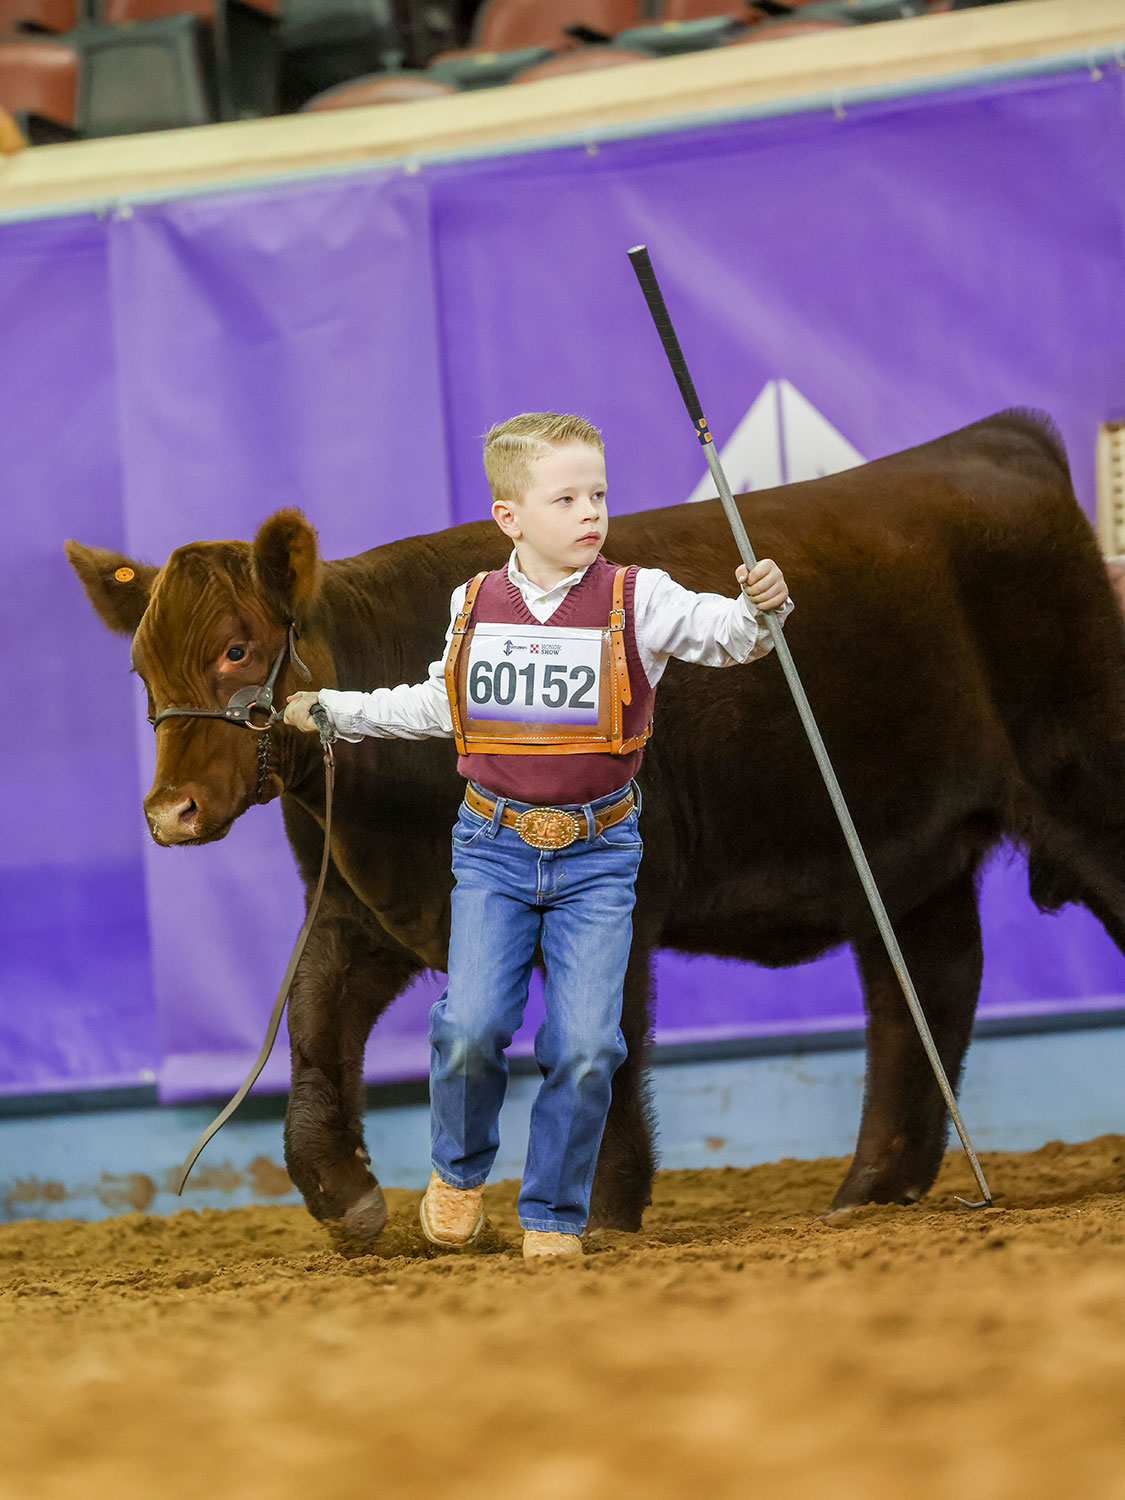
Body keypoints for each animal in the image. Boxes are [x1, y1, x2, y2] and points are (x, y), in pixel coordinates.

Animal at [63, 408, 1125, 1242]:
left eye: (238, 647)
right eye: (143, 670)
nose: (169, 811)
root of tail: (998, 444)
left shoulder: (628, 895)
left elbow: (602, 1036)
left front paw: (603, 1214)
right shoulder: (363, 911)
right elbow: (314, 1031)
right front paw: (345, 1193)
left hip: (1085, 778)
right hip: (904, 860)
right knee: (925, 990)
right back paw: (870, 1192)